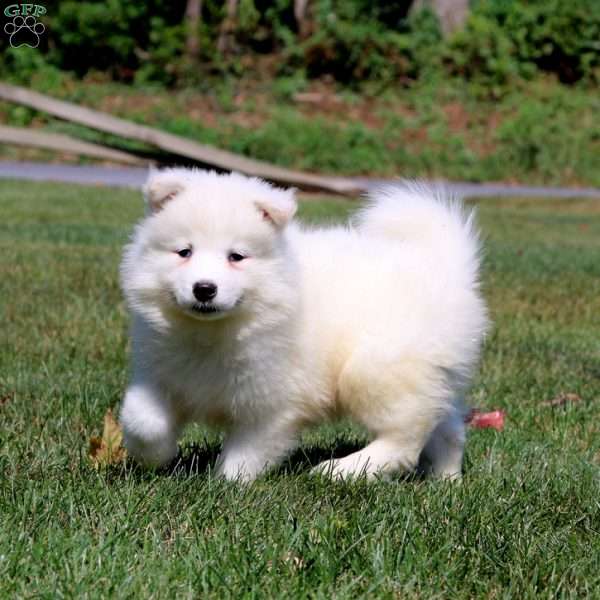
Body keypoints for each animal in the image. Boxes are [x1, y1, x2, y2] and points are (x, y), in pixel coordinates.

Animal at [120, 169, 488, 482]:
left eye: (236, 257)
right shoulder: (160, 374)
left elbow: (248, 451)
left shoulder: (274, 401)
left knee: (406, 436)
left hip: (377, 368)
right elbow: (142, 420)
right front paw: (155, 456)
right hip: (431, 376)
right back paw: (445, 479)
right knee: (446, 426)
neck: (213, 331)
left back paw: (341, 470)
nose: (204, 288)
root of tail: (446, 267)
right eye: (184, 251)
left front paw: (226, 485)